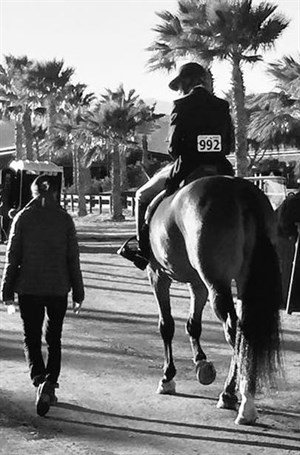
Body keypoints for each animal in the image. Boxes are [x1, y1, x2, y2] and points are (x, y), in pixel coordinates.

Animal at [146, 175, 282, 428]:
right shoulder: (197, 284)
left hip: (217, 285)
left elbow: (166, 326)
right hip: (243, 284)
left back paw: (240, 399)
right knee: (244, 332)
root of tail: (239, 190)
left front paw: (168, 377)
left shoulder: (158, 276)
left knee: (234, 331)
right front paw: (202, 364)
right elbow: (193, 325)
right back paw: (237, 395)